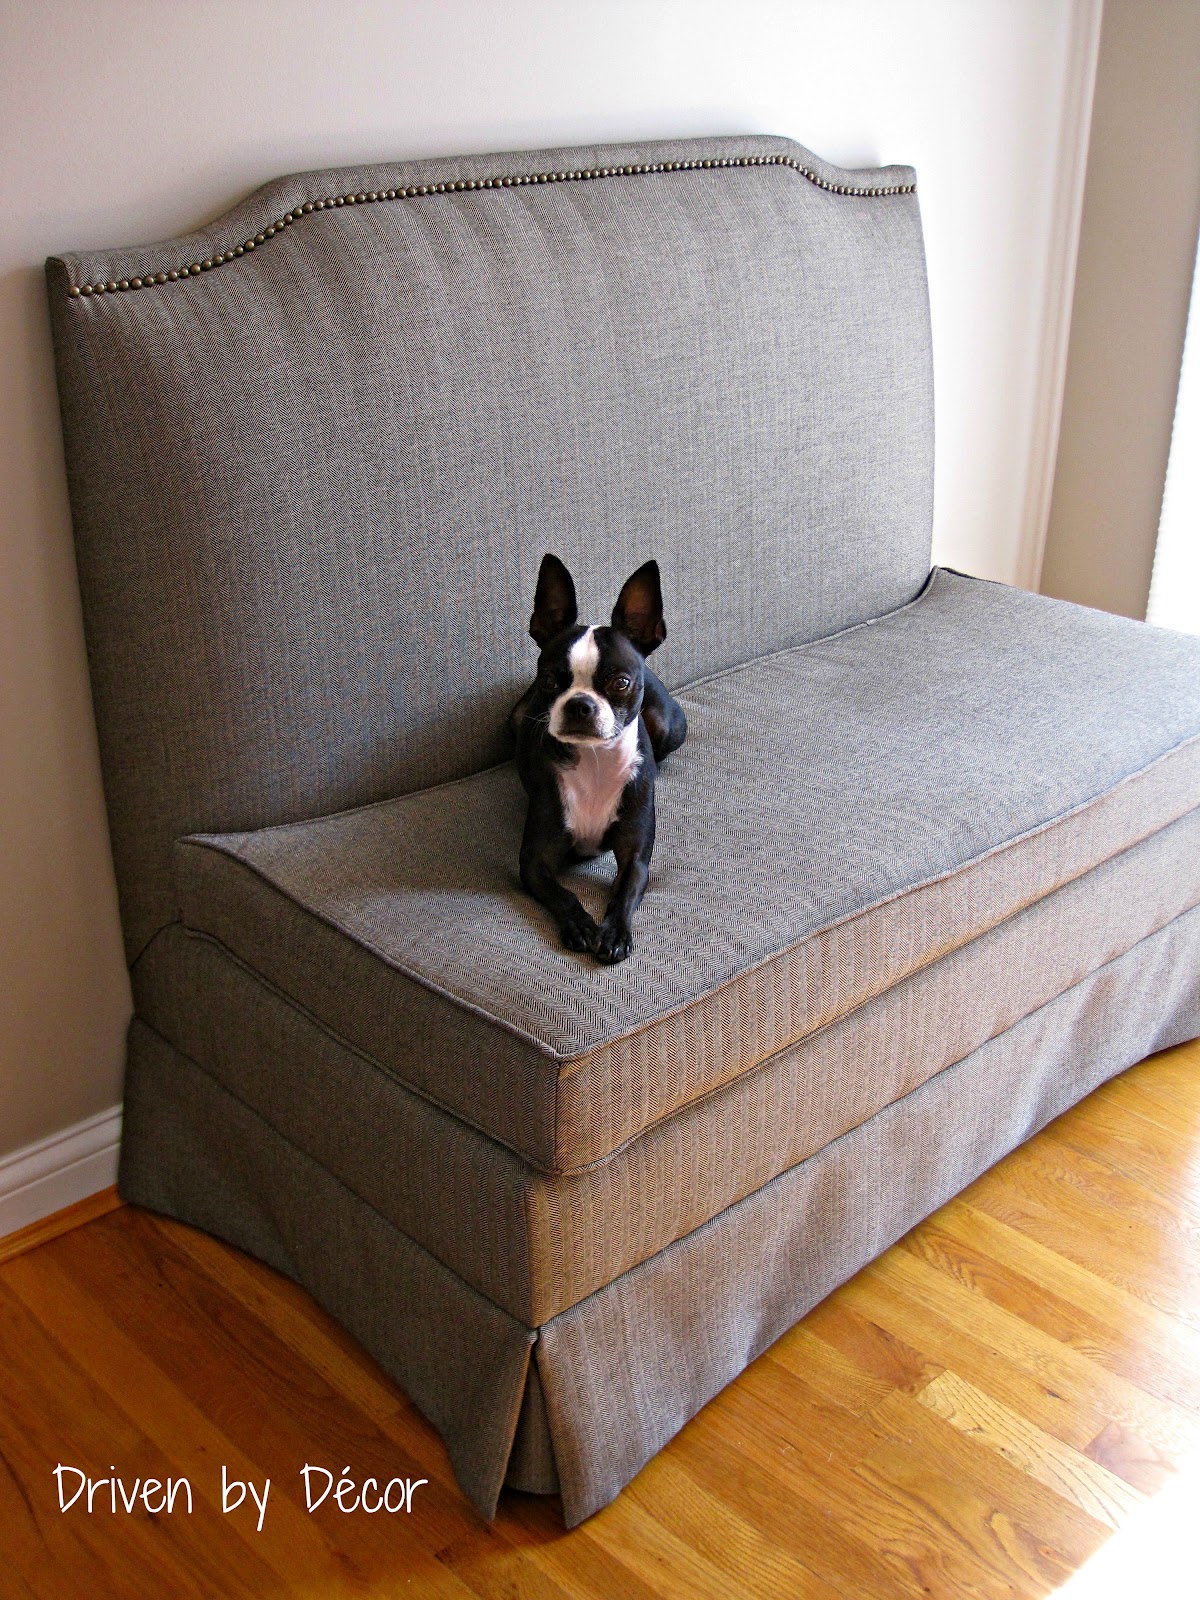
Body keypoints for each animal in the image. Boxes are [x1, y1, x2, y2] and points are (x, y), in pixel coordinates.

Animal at [512, 553, 691, 960]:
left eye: (620, 683)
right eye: (549, 681)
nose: (579, 705)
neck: (595, 761)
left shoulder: (636, 857)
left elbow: (623, 892)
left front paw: (613, 934)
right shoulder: (534, 860)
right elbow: (562, 893)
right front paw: (580, 925)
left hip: (669, 726)